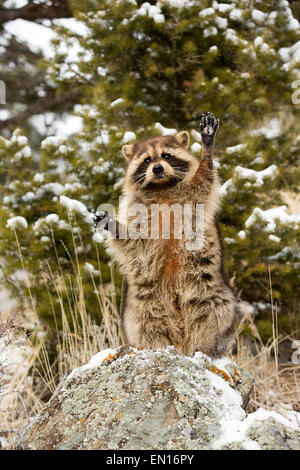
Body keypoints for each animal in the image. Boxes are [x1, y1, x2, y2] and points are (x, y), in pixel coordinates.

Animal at [95, 112, 238, 358]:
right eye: (146, 160)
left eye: (166, 155)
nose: (158, 169)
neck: (161, 188)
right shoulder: (138, 215)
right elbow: (131, 238)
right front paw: (112, 224)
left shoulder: (192, 198)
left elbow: (204, 180)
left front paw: (206, 149)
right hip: (138, 310)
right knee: (147, 327)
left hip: (216, 299)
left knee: (211, 321)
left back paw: (205, 351)